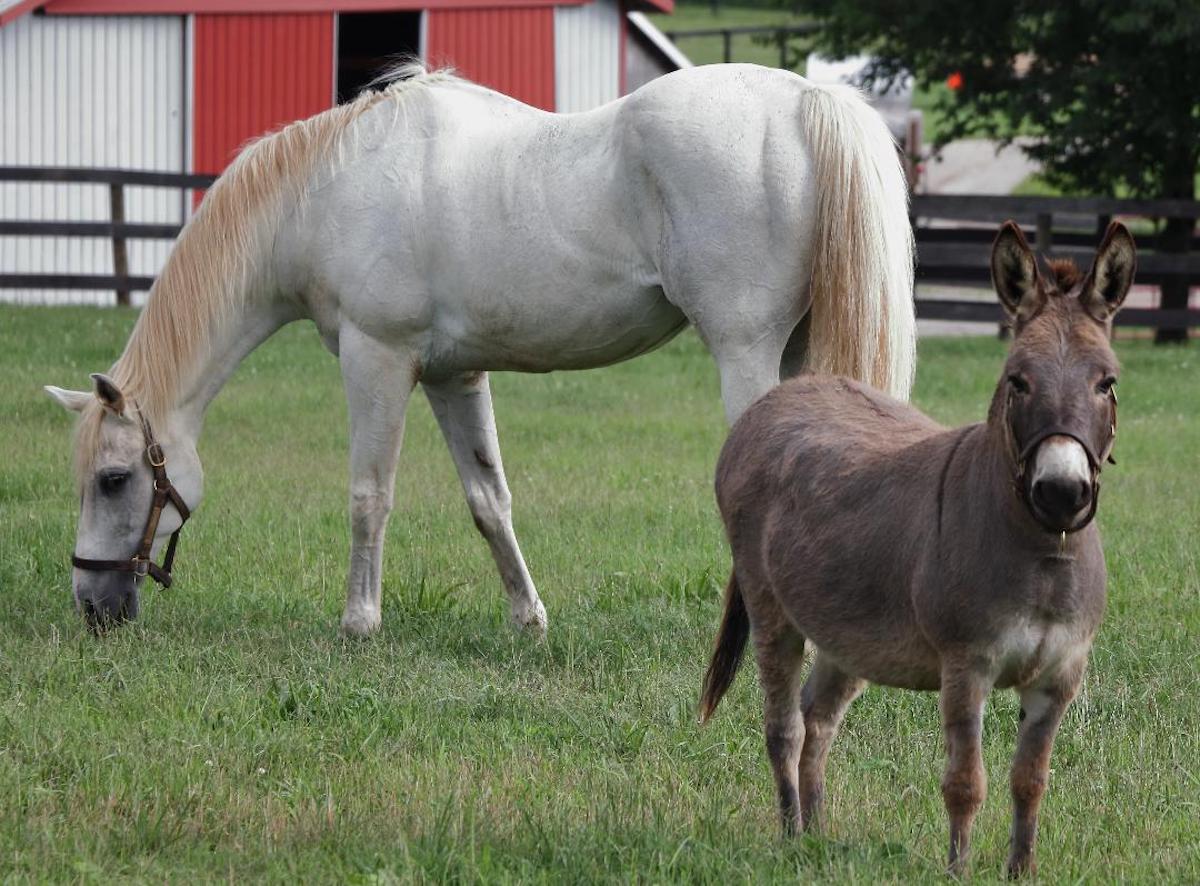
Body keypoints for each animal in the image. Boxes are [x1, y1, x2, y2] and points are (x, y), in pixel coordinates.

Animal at [42, 63, 912, 633]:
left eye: (114, 479)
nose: (92, 608)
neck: (326, 194)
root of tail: (803, 100)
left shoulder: (376, 360)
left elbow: (369, 495)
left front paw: (360, 623)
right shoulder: (453, 376)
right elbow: (489, 501)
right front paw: (529, 619)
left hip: (747, 353)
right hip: (798, 356)